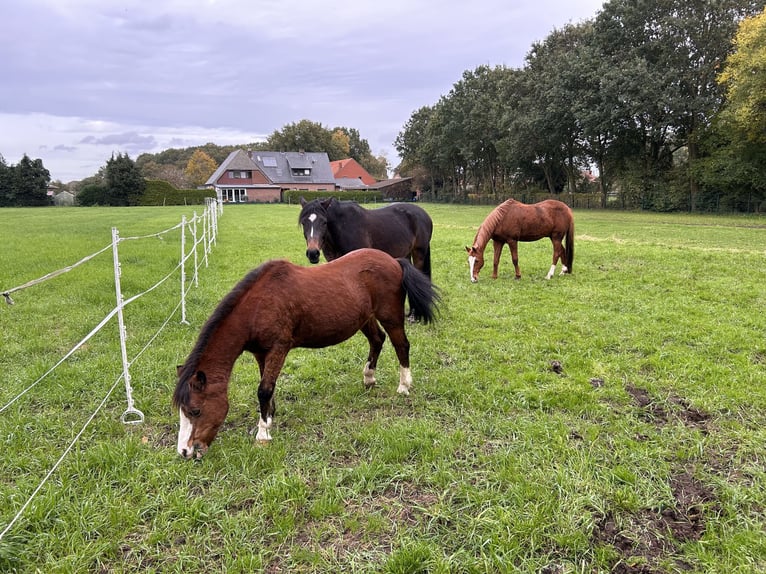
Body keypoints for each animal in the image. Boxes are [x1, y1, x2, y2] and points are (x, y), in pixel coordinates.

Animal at [172, 250, 438, 462]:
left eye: (195, 411)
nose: (185, 451)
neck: (258, 305)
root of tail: (393, 261)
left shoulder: (279, 348)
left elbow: (264, 390)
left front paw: (263, 434)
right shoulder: (261, 352)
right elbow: (268, 386)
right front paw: (270, 417)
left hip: (391, 316)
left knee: (401, 345)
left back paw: (404, 386)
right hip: (365, 318)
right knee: (377, 340)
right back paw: (369, 378)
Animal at [298, 198, 436, 280]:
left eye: (324, 222)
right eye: (304, 223)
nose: (313, 253)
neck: (342, 227)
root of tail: (425, 215)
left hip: (419, 253)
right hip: (405, 253)